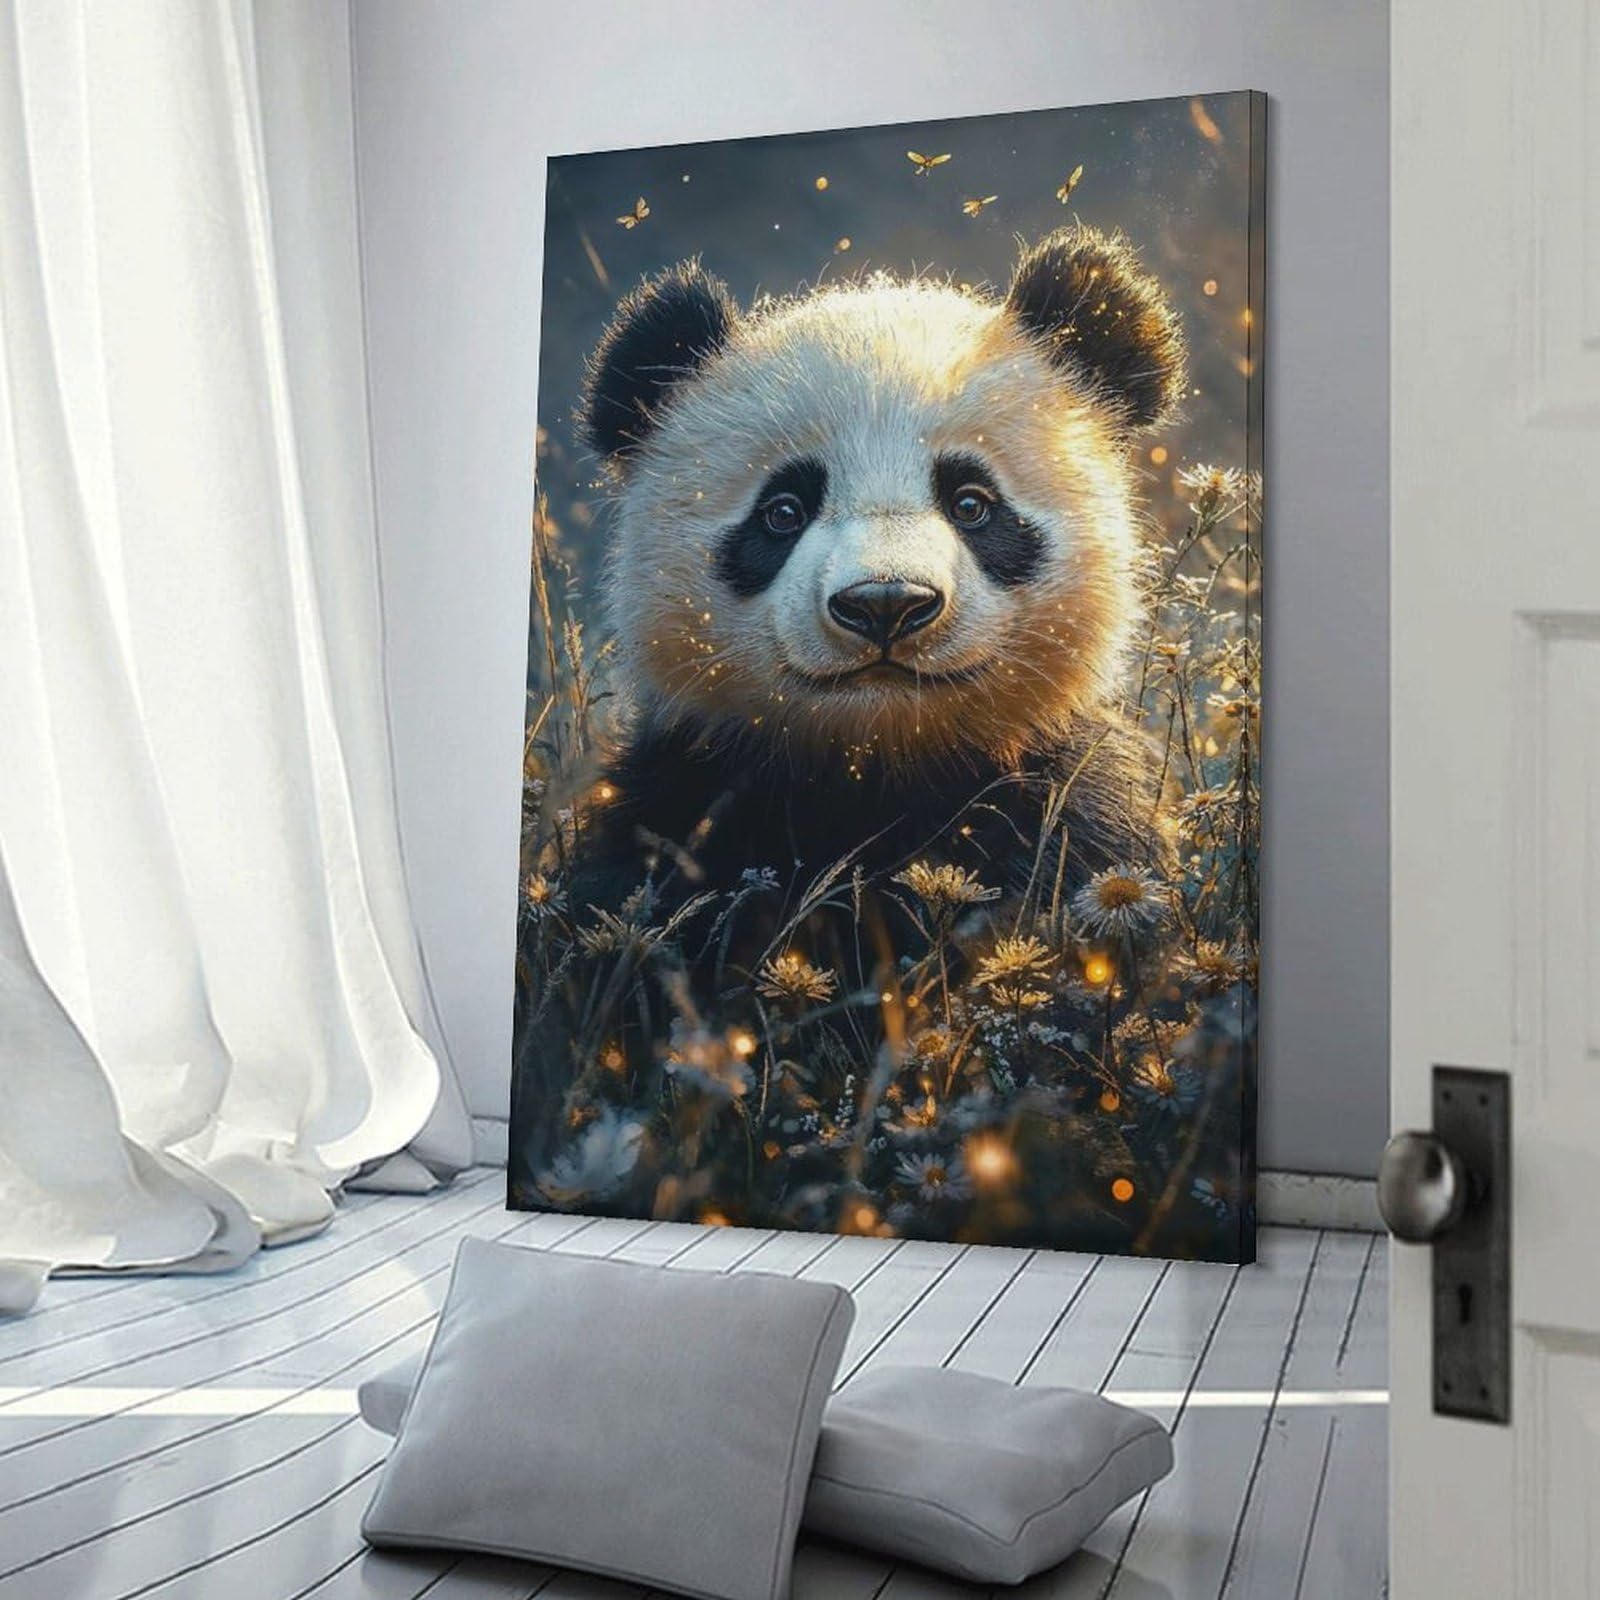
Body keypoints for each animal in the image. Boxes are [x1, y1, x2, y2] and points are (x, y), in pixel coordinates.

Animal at [561, 226, 1185, 915]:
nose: (885, 602)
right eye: (783, 511)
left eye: (971, 503)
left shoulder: (1066, 802)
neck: (879, 769)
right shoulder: (679, 804)